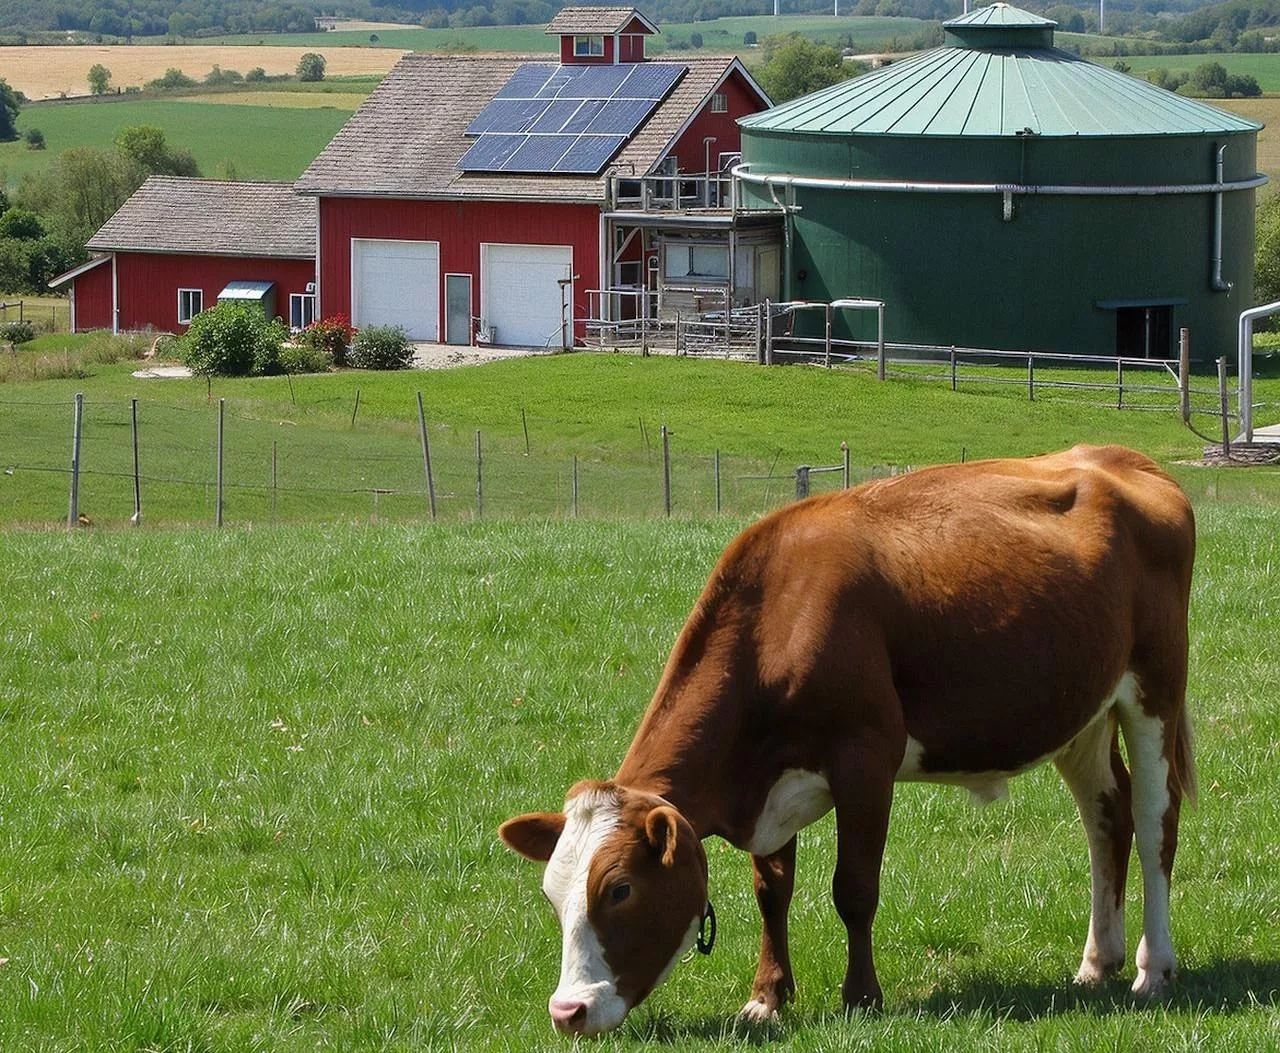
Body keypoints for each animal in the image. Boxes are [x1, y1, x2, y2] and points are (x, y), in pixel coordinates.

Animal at [496, 445, 1187, 1038]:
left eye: (619, 889)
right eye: (552, 893)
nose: (567, 1012)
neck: (778, 617)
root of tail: (1122, 458)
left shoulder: (866, 758)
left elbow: (853, 889)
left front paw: (862, 998)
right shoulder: (771, 781)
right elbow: (771, 891)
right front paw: (766, 997)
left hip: (1155, 688)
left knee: (1156, 821)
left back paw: (1153, 969)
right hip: (1083, 711)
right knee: (1107, 817)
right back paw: (1097, 961)